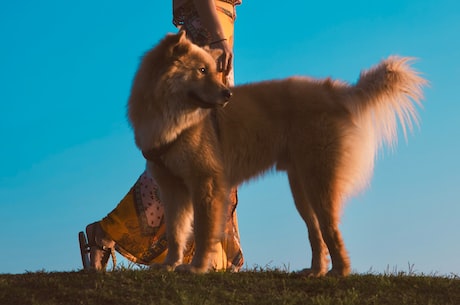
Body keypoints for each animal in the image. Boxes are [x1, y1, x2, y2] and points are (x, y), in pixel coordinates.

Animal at [126, 32, 428, 274]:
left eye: (211, 70)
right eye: (201, 70)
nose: (227, 95)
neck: (171, 117)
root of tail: (336, 92)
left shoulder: (206, 184)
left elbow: (202, 232)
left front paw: (197, 268)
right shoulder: (173, 188)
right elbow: (176, 233)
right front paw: (169, 265)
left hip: (319, 183)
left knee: (331, 229)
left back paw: (340, 272)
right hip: (302, 189)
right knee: (316, 233)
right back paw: (315, 271)